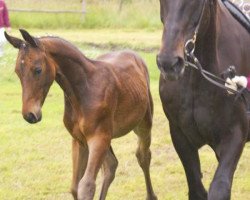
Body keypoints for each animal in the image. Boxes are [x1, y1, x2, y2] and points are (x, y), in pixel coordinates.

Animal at [5, 29, 157, 200]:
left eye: (38, 69)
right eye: (17, 71)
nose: (29, 115)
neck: (84, 89)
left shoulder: (98, 138)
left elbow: (86, 185)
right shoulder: (80, 140)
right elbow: (75, 187)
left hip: (143, 125)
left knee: (143, 156)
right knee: (111, 165)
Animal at [157, 0, 249, 200]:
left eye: (196, 2)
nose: (169, 63)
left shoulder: (235, 135)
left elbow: (219, 188)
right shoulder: (181, 136)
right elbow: (197, 189)